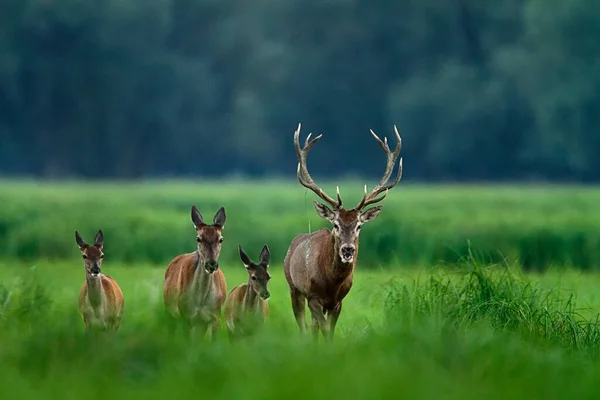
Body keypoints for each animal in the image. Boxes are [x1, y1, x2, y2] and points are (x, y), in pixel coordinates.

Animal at [163, 206, 229, 340]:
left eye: (221, 239)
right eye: (198, 238)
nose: (211, 264)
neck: (200, 300)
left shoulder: (216, 317)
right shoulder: (184, 314)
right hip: (169, 310)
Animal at [284, 122, 404, 340]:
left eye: (359, 225)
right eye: (336, 224)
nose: (348, 249)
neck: (332, 284)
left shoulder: (338, 302)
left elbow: (328, 331)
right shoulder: (313, 297)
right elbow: (323, 329)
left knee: (312, 327)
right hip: (293, 288)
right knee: (303, 325)